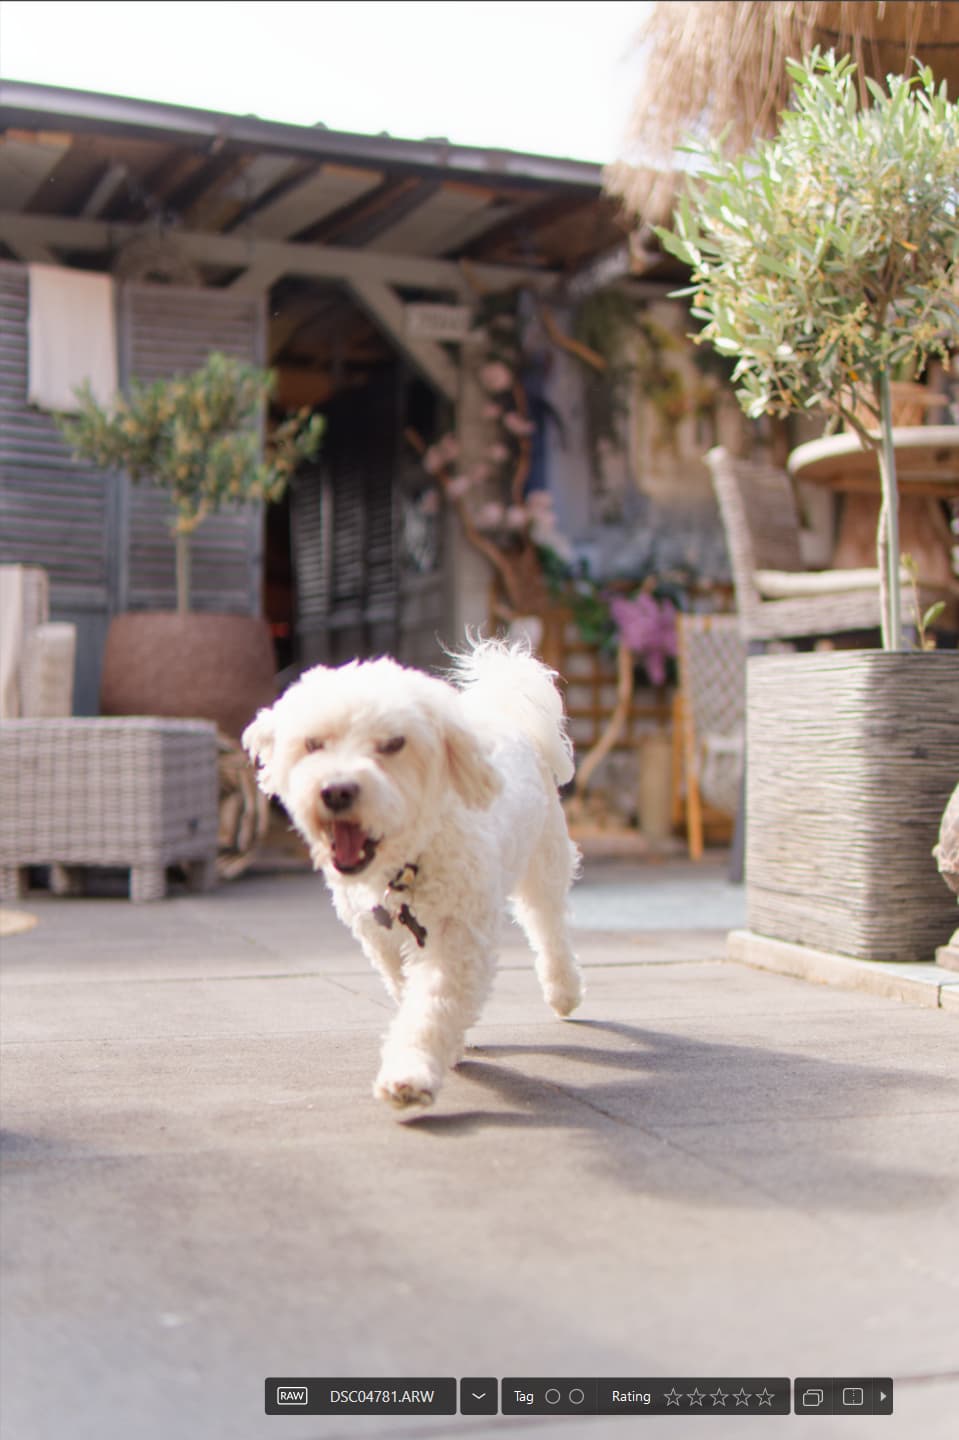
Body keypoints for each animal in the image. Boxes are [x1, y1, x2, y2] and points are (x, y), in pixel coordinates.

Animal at [242, 640, 584, 1112]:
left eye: (393, 744)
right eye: (313, 744)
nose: (336, 790)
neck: (406, 865)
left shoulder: (458, 938)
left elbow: (432, 1006)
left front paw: (410, 1074)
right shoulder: (380, 939)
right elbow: (409, 990)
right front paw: (446, 1049)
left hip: (544, 860)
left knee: (548, 925)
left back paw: (563, 990)